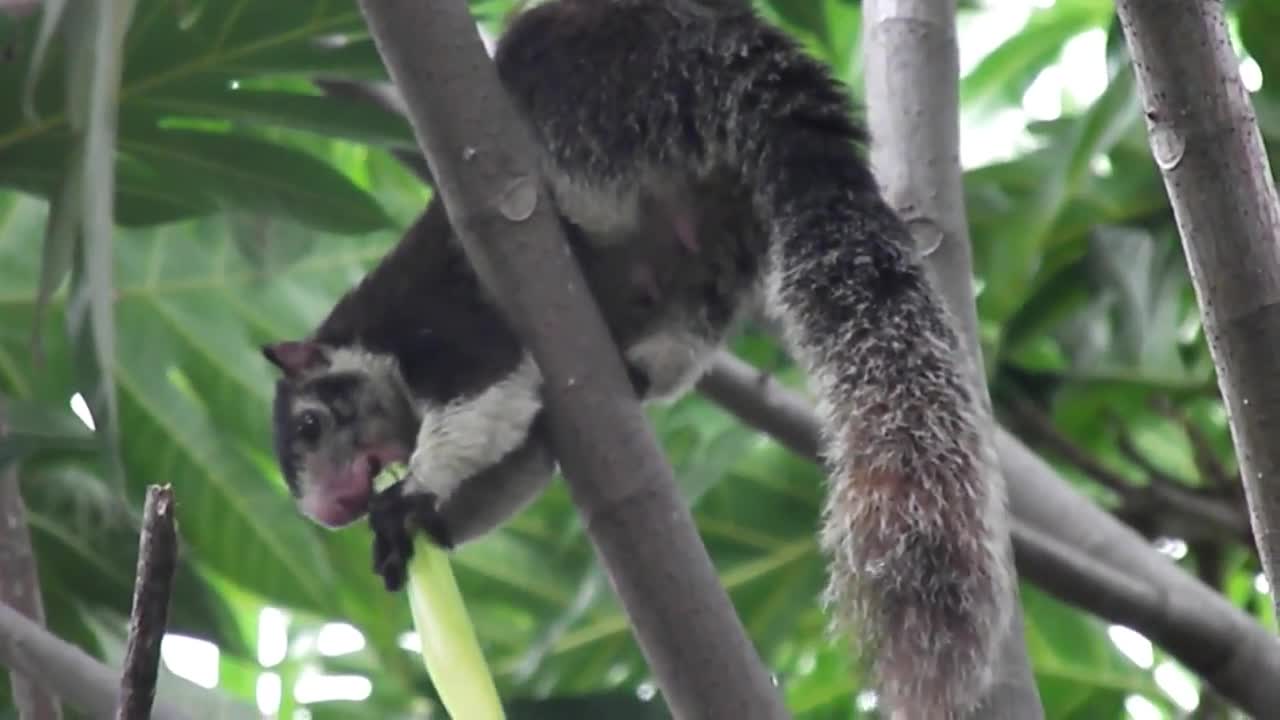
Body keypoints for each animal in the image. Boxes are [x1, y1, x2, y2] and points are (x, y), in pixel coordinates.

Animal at [259, 2, 1008, 712]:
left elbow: (488, 398)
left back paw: (568, 208)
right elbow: (525, 454)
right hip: (727, 241)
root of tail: (727, 41)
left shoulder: (439, 327)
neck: (375, 348)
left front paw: (410, 495)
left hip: (604, 98)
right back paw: (646, 364)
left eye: (309, 425)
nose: (331, 508)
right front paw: (420, 525)